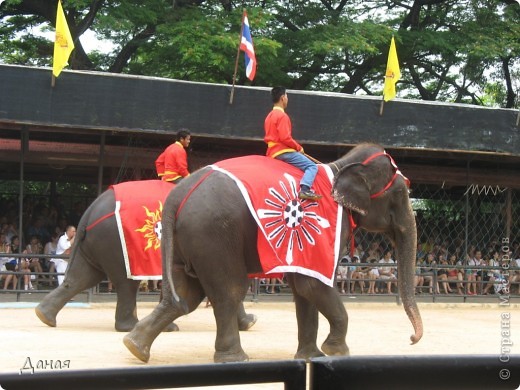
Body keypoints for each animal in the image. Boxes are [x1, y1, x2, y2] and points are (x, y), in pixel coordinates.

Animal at [34, 182, 256, 332]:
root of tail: (90, 211)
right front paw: (249, 323)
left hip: (94, 243)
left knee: (83, 277)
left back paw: (44, 317)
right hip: (117, 243)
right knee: (125, 283)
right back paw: (130, 326)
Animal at [125, 143, 422, 362]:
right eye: (401, 193)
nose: (412, 340)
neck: (340, 165)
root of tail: (177, 196)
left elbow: (302, 289)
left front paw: (311, 356)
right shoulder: (322, 236)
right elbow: (312, 285)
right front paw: (336, 352)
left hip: (185, 241)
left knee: (185, 295)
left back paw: (135, 347)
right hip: (213, 235)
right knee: (228, 291)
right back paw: (235, 358)